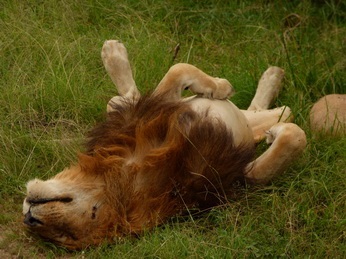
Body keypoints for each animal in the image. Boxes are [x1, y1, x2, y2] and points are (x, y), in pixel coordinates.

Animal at [23, 40, 306, 250]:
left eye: (93, 211)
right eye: (64, 235)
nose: (29, 218)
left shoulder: (159, 114)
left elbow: (178, 69)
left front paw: (220, 86)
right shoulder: (235, 175)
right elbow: (293, 139)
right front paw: (275, 128)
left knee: (127, 96)